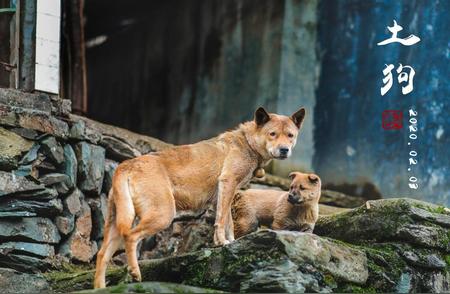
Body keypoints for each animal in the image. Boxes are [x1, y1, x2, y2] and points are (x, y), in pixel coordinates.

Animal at [94, 105, 306, 288]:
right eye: (273, 134)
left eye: (290, 135)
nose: (284, 150)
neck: (247, 143)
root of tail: (126, 165)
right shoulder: (227, 183)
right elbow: (221, 221)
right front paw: (222, 242)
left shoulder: (226, 193)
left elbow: (228, 222)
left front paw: (230, 242)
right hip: (162, 215)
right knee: (130, 237)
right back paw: (135, 272)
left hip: (117, 221)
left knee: (102, 255)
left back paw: (100, 287)